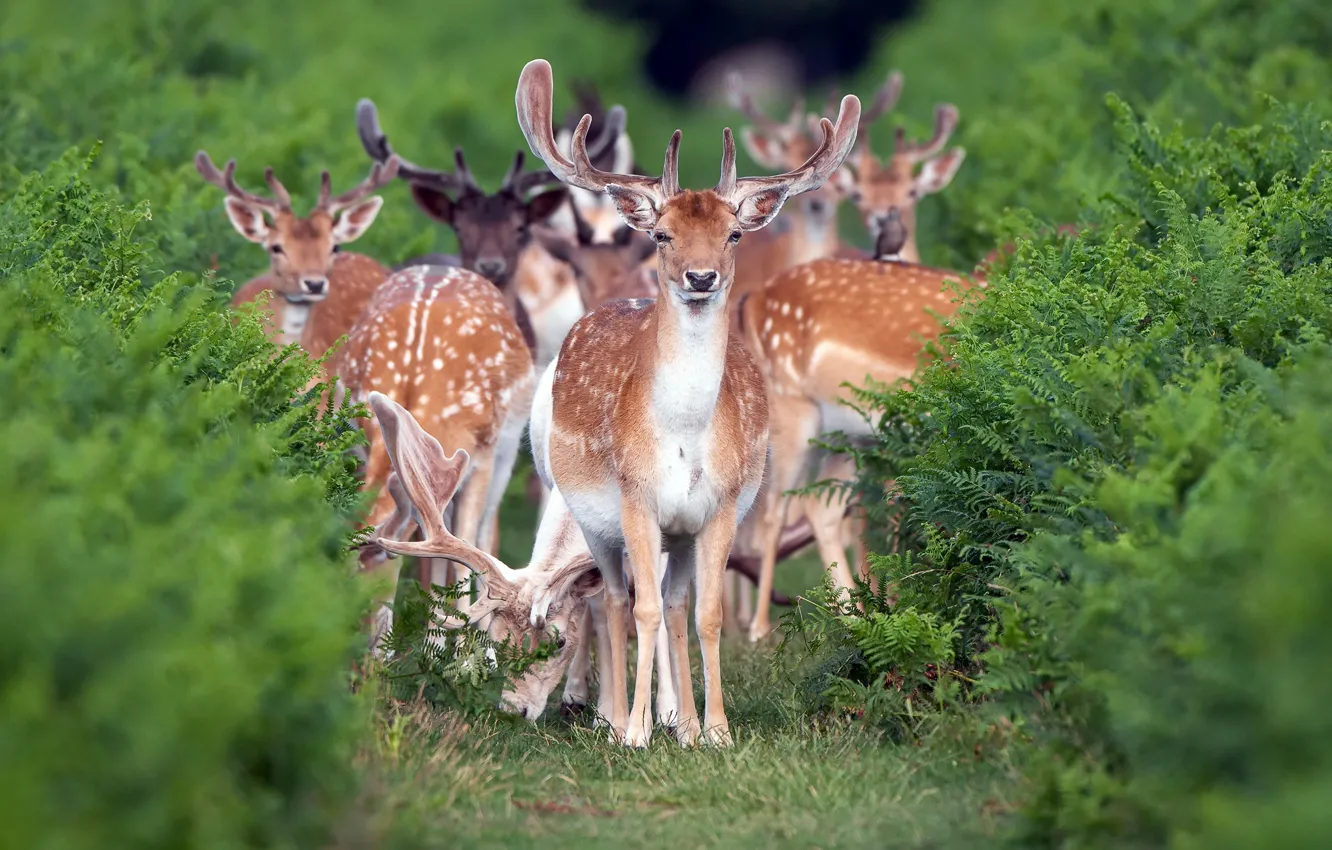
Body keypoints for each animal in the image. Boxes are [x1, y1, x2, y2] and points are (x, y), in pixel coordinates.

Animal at [331, 264, 536, 648]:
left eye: (381, 563)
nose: (364, 645)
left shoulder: (482, 456)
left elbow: (466, 558)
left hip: (507, 447)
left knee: (483, 536)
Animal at [515, 57, 862, 747]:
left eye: (733, 234)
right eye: (663, 234)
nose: (700, 277)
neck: (682, 434)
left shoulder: (721, 506)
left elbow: (705, 612)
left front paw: (716, 730)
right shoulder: (637, 498)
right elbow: (641, 606)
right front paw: (636, 731)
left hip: (677, 533)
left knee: (671, 604)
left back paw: (683, 721)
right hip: (586, 511)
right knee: (612, 599)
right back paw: (611, 716)